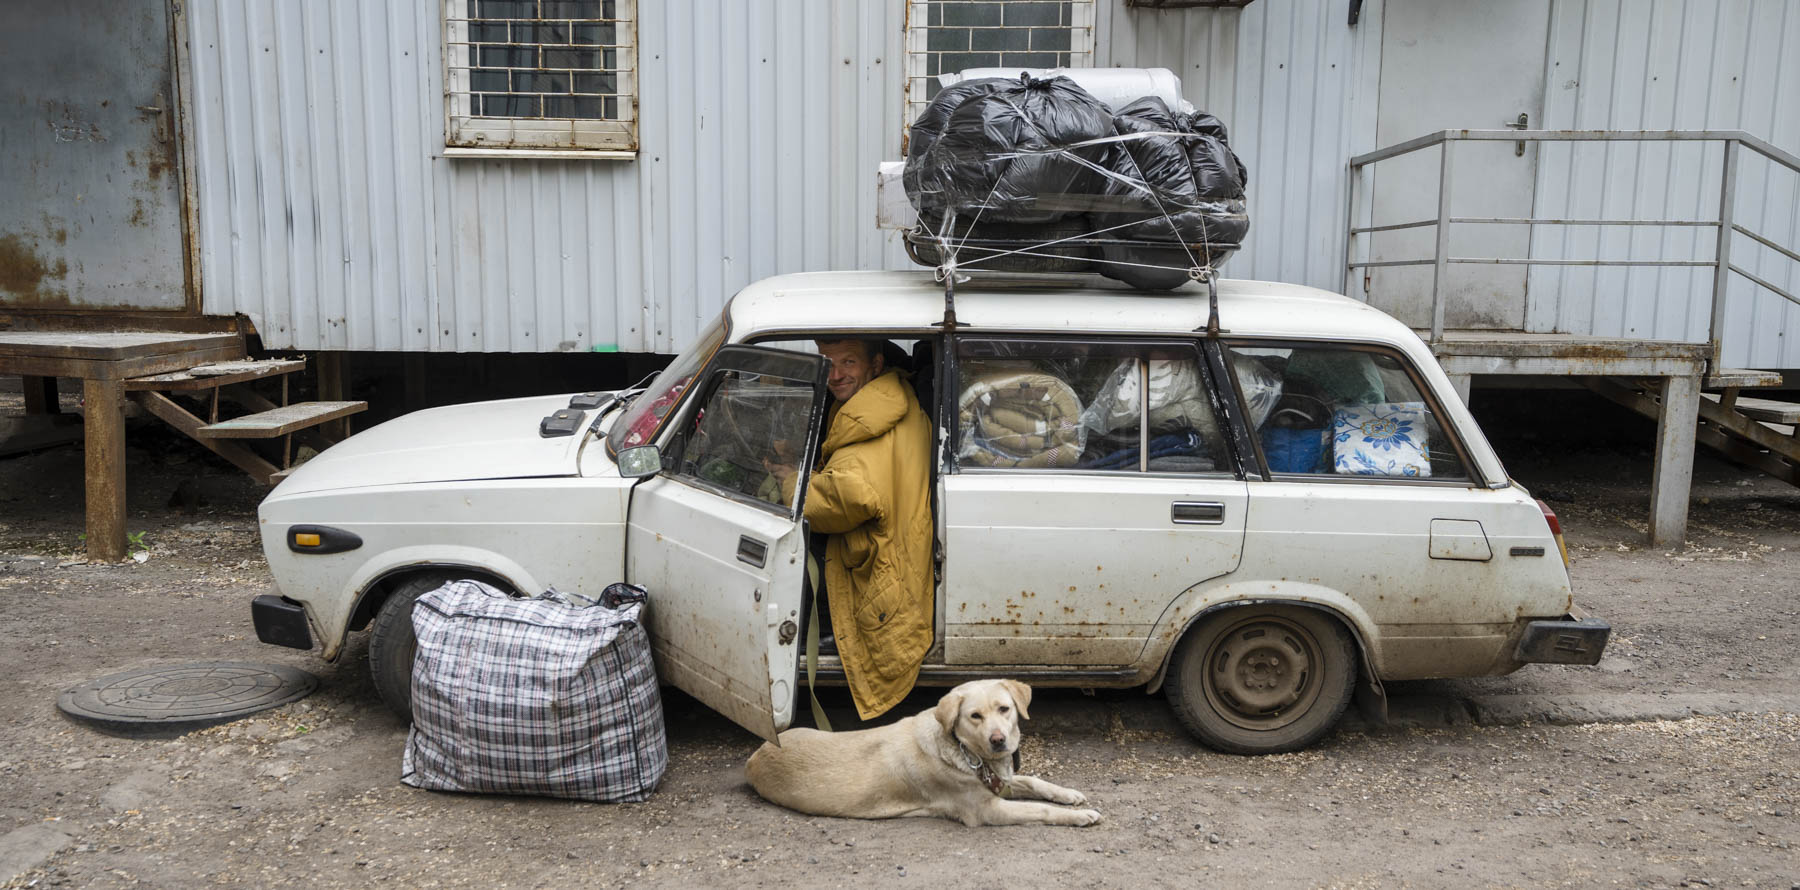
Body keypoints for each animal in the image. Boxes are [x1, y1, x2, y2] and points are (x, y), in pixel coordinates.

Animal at [741, 681, 1094, 828]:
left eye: (1004, 709)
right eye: (974, 716)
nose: (998, 740)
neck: (968, 754)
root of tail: (754, 757)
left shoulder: (999, 780)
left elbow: (1034, 782)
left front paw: (1070, 794)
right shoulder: (987, 810)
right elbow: (1040, 809)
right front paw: (1079, 817)